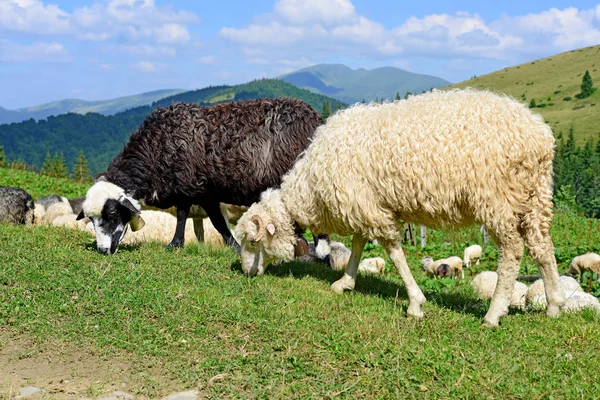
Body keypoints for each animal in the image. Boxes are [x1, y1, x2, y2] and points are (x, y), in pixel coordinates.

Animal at [79, 97, 326, 253]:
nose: (103, 250)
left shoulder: (187, 185)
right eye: (91, 219)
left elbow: (182, 215)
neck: (155, 148)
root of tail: (315, 118)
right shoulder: (206, 192)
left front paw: (175, 244)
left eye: (112, 213)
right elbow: (217, 223)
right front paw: (234, 246)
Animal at [233, 89, 564, 326]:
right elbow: (358, 245)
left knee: (513, 251)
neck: (311, 186)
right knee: (542, 246)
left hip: (497, 198)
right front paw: (344, 283)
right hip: (535, 195)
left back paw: (494, 313)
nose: (247, 273)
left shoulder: (372, 209)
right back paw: (554, 305)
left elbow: (394, 254)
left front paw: (415, 303)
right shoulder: (365, 204)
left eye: (253, 240)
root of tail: (539, 136)